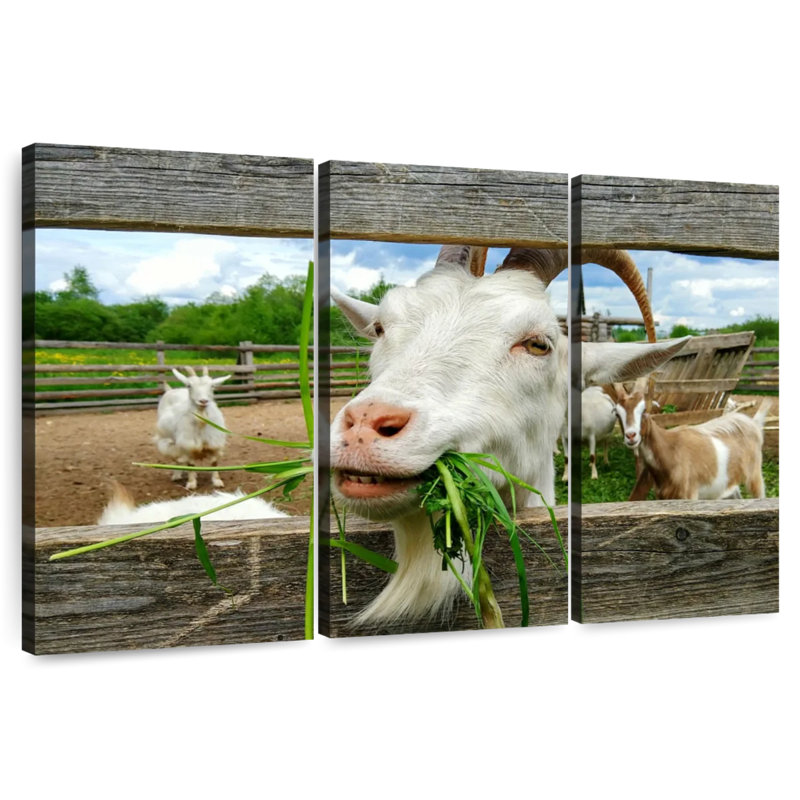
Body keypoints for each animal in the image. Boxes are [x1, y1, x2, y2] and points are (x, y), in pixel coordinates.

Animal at [612, 386, 770, 500]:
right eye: (618, 414)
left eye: (644, 410)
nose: (631, 436)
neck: (670, 448)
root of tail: (753, 423)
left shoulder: (689, 495)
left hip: (755, 476)